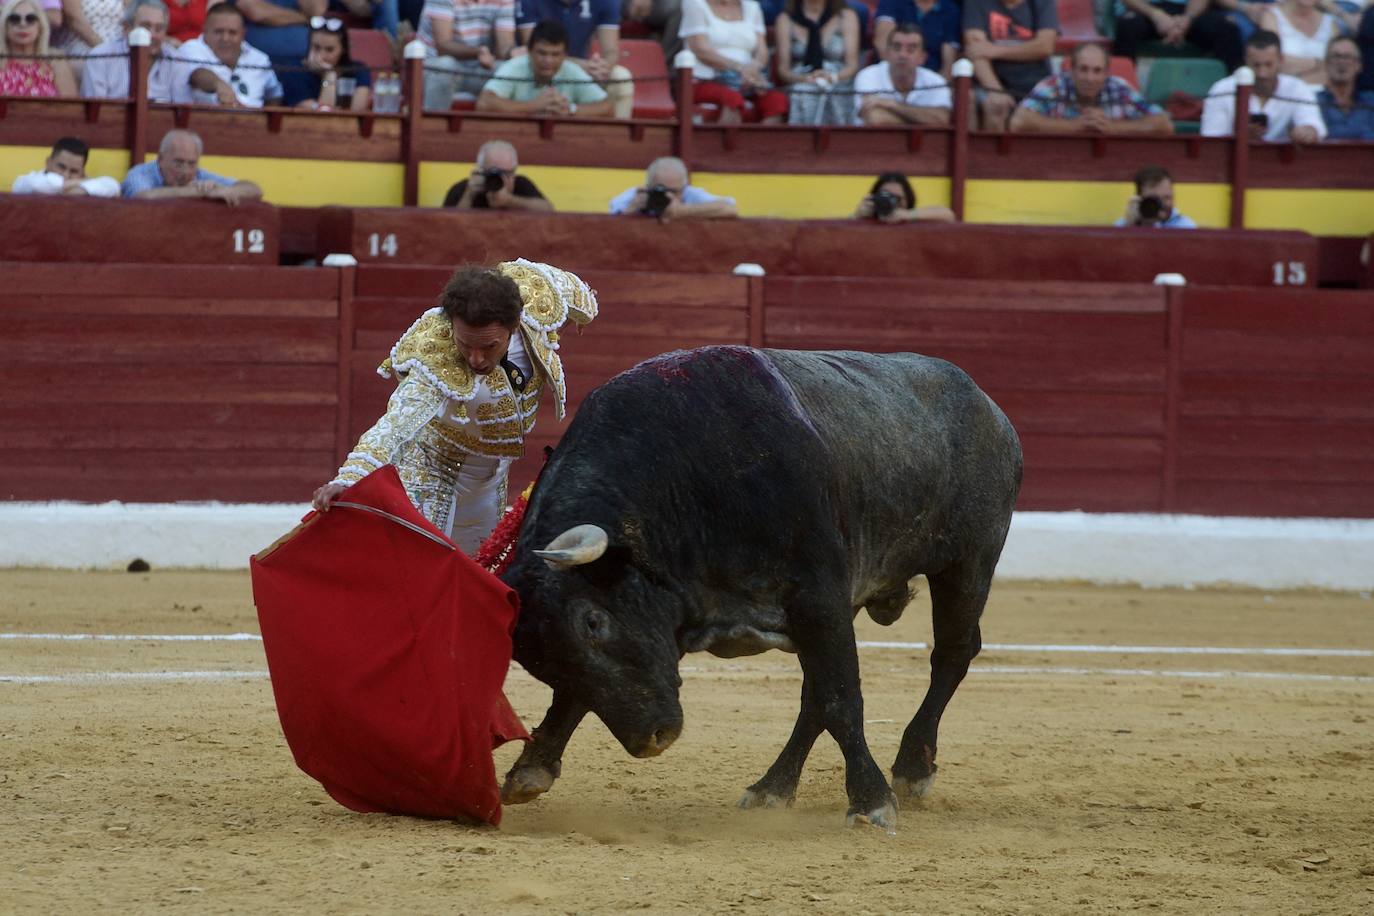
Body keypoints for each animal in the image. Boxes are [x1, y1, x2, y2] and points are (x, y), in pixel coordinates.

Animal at [497, 346, 1022, 829]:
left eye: (593, 621)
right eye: (536, 662)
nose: (653, 738)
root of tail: (992, 411)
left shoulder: (819, 596)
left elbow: (843, 699)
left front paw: (871, 803)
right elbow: (575, 695)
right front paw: (530, 770)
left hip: (969, 561)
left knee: (950, 653)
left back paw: (912, 768)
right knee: (816, 695)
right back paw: (773, 787)